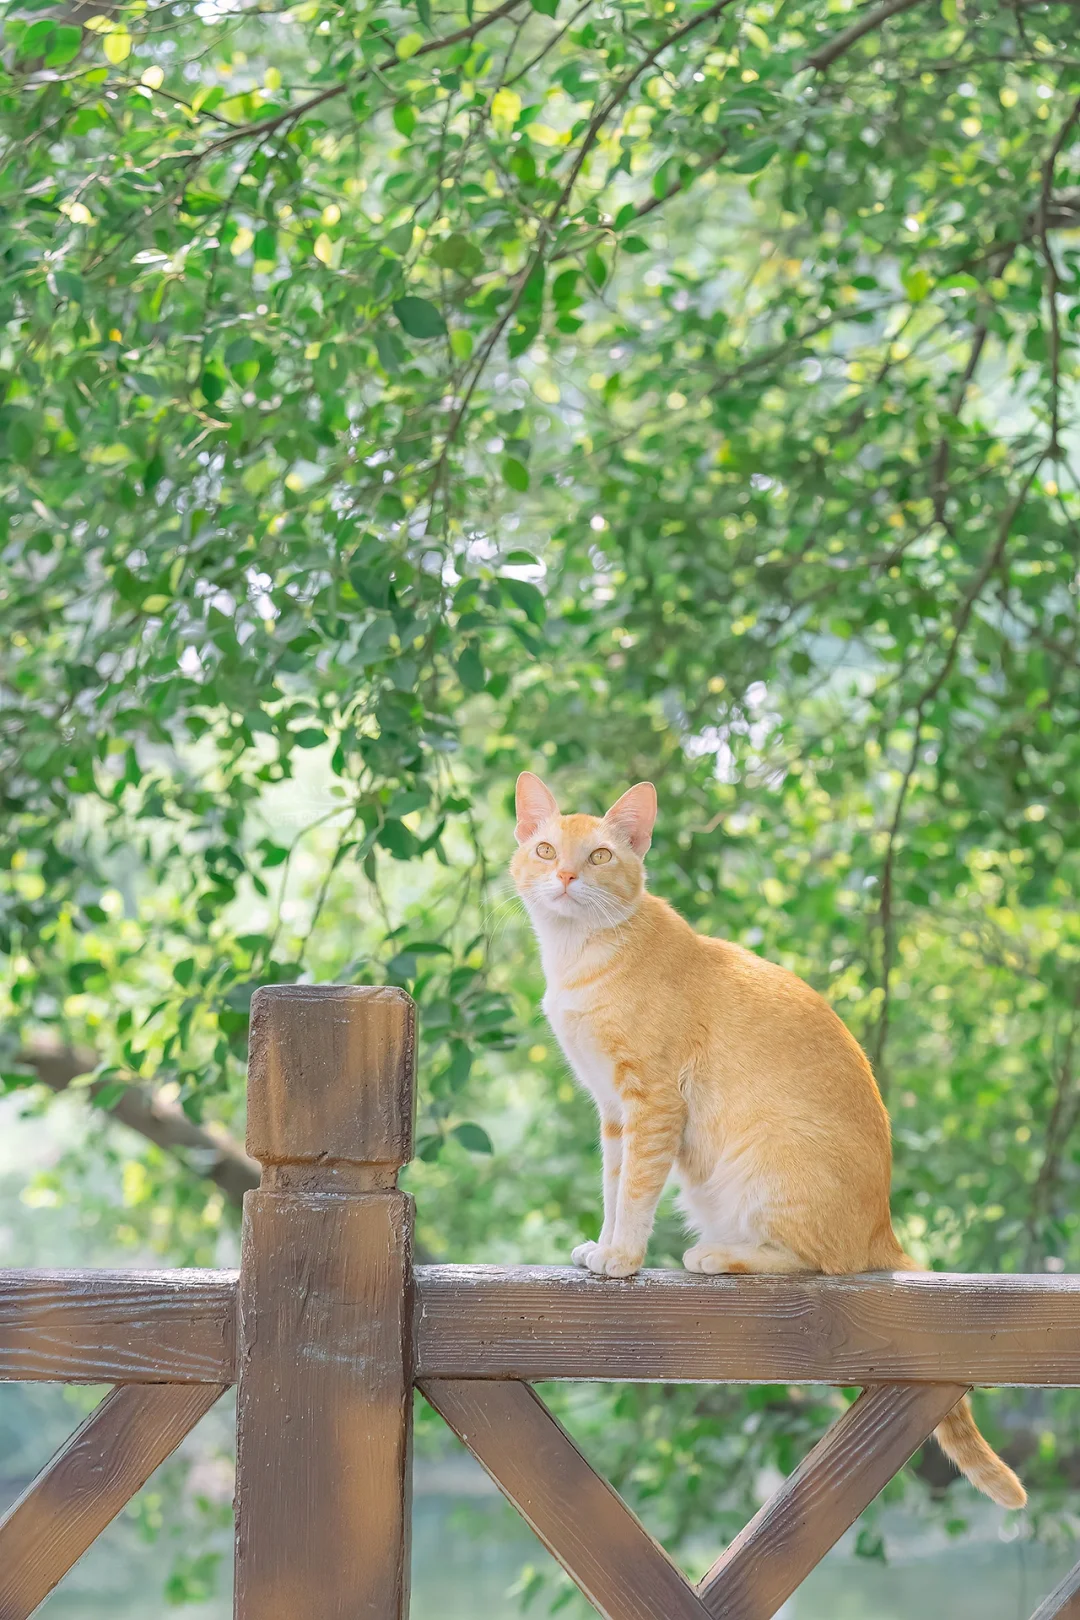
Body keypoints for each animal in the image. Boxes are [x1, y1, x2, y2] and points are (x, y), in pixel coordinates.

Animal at [511, 771, 1029, 1503]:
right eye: (547, 847)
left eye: (601, 856)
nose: (562, 875)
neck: (580, 953)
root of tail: (882, 1221)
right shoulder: (613, 1110)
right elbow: (615, 1187)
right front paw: (604, 1247)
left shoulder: (652, 1103)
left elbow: (637, 1189)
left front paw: (624, 1257)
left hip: (762, 1167)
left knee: (825, 1264)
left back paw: (718, 1255)